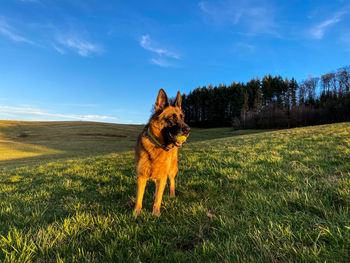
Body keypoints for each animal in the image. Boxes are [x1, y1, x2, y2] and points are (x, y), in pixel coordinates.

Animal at [134, 88, 190, 217]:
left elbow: (158, 198)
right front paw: (137, 213)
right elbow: (139, 197)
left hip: (171, 170)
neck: (157, 146)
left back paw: (172, 195)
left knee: (172, 182)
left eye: (182, 117)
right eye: (172, 118)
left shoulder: (162, 176)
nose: (188, 130)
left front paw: (155, 214)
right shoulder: (141, 177)